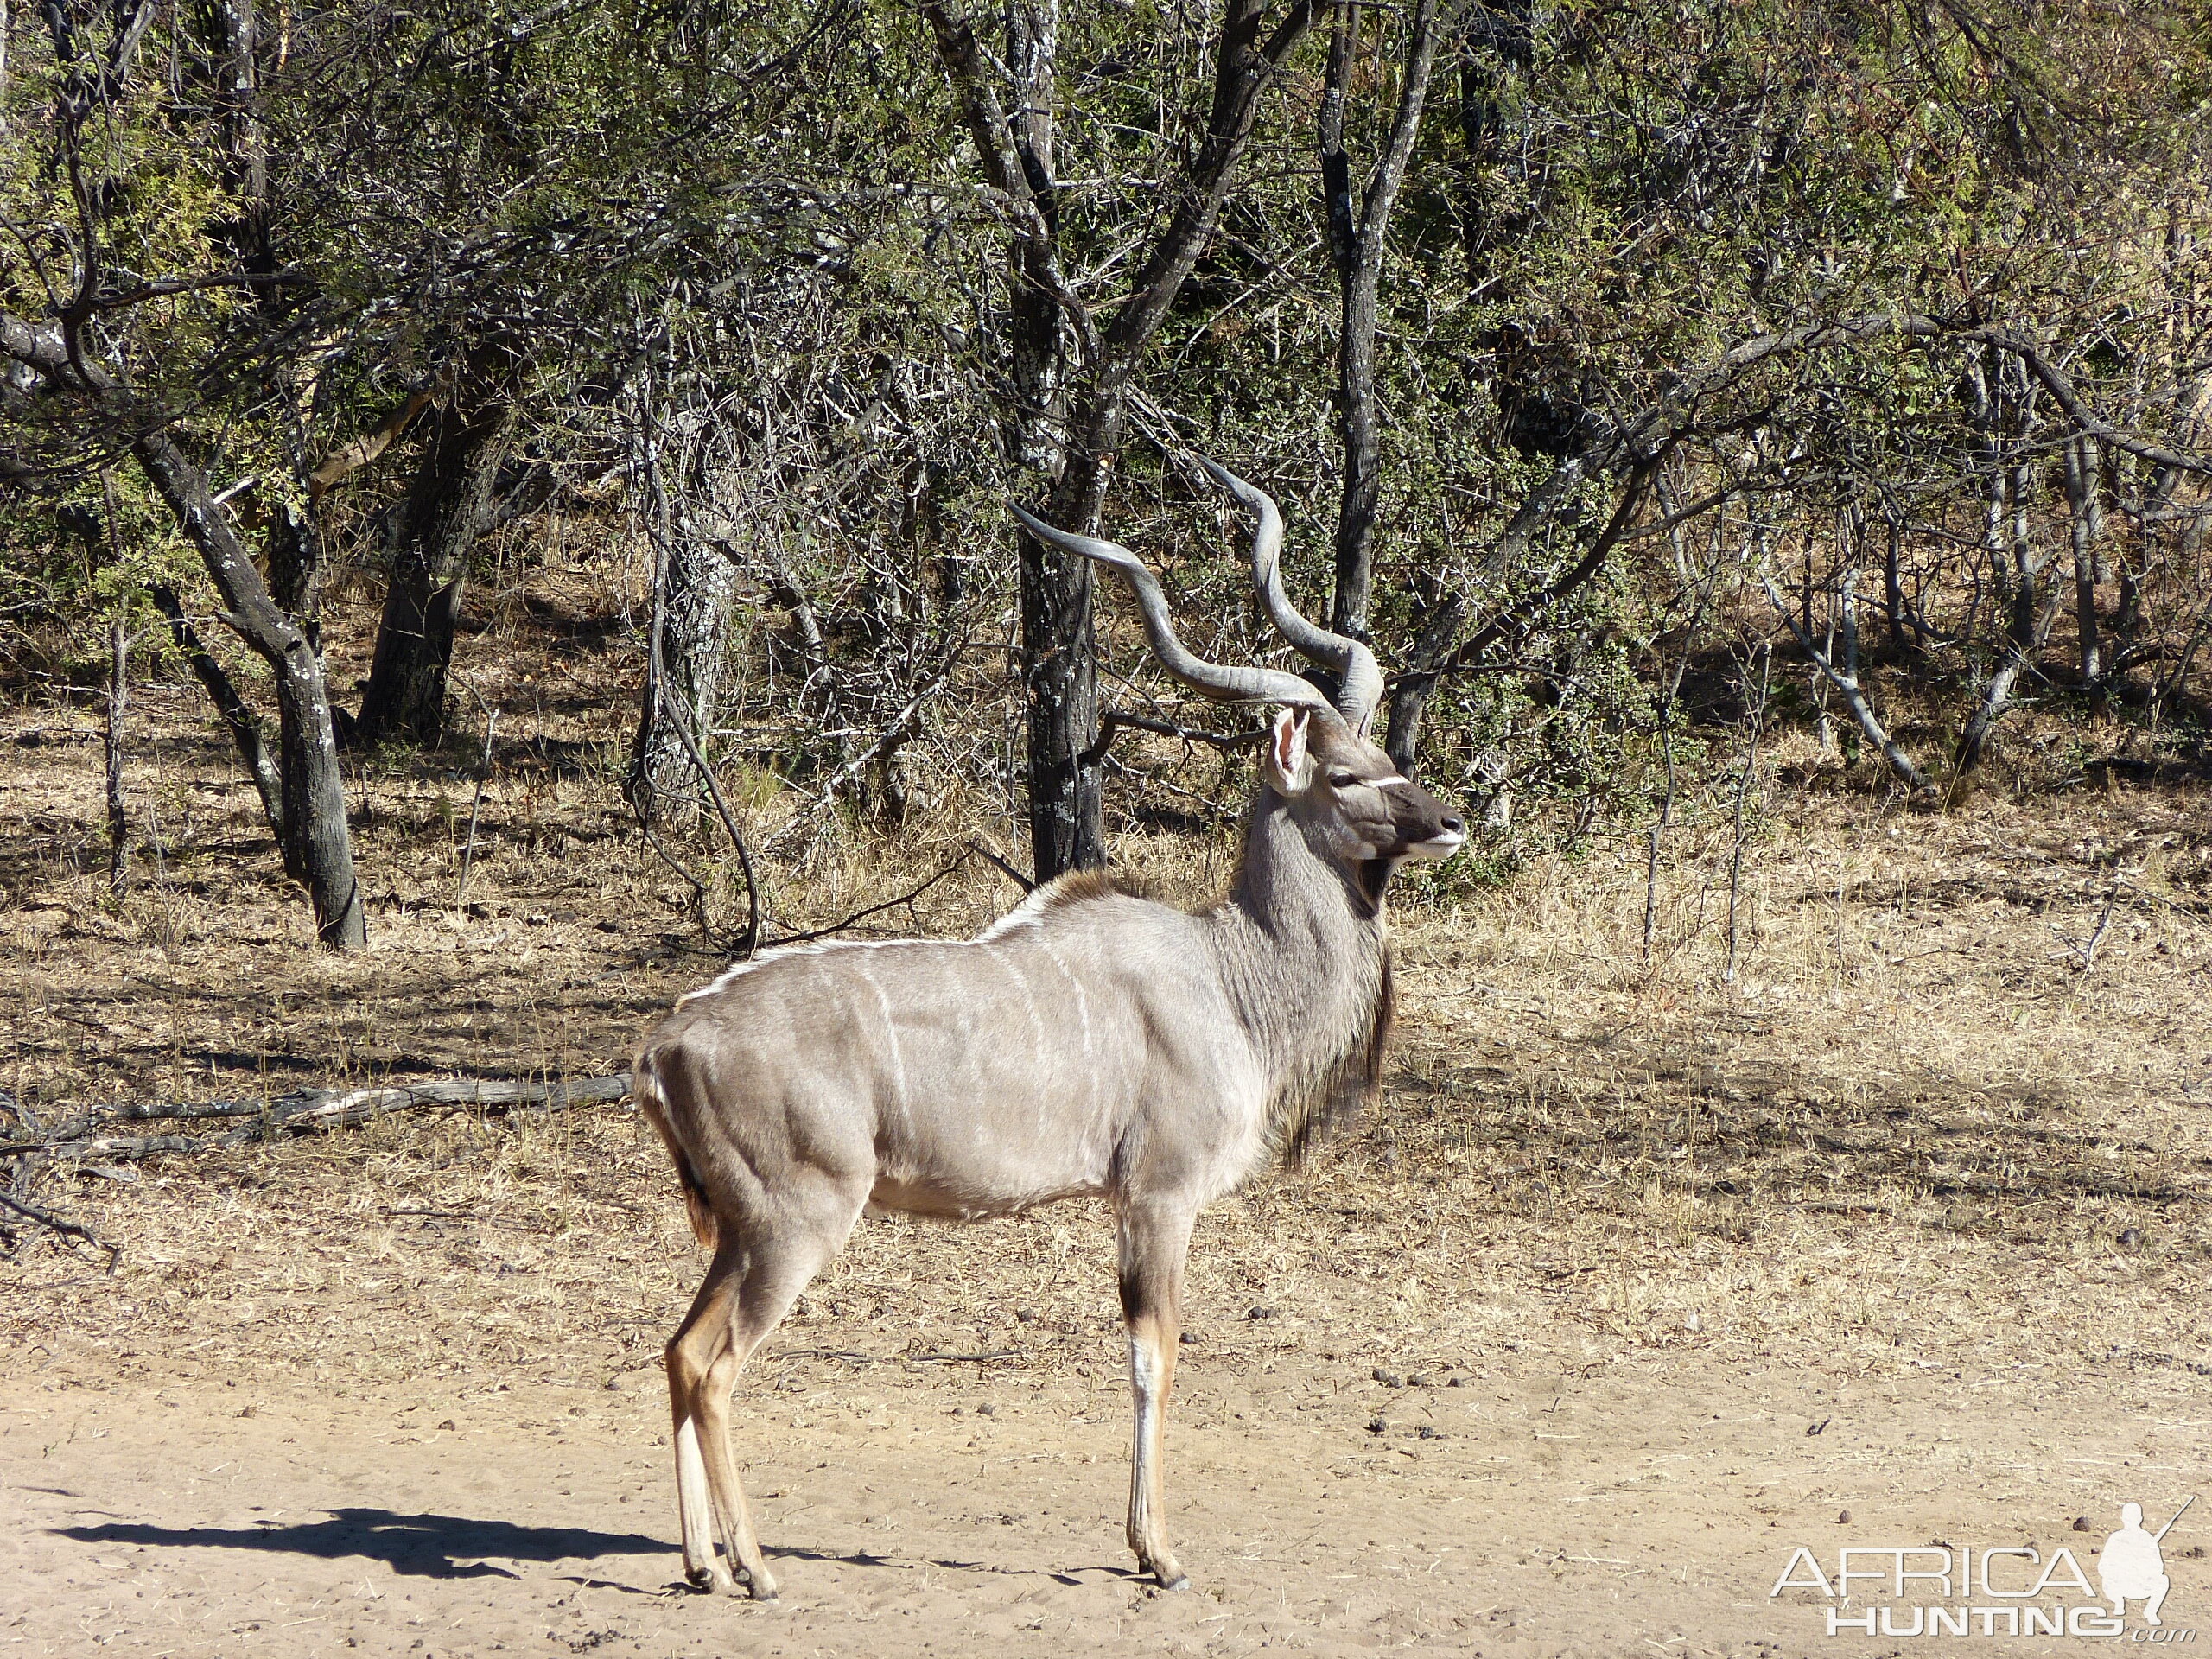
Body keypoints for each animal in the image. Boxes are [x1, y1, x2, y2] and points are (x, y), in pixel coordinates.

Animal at [632, 464, 1459, 1601]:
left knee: (677, 1351)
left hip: (742, 1230)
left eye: (1381, 753)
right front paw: (1157, 1555)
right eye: (1343, 776)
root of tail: (669, 1042)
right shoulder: (1156, 1199)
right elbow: (1154, 1358)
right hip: (797, 1223)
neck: (1226, 974)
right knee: (715, 1368)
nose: (1447, 820)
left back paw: (704, 1564)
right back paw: (756, 1568)